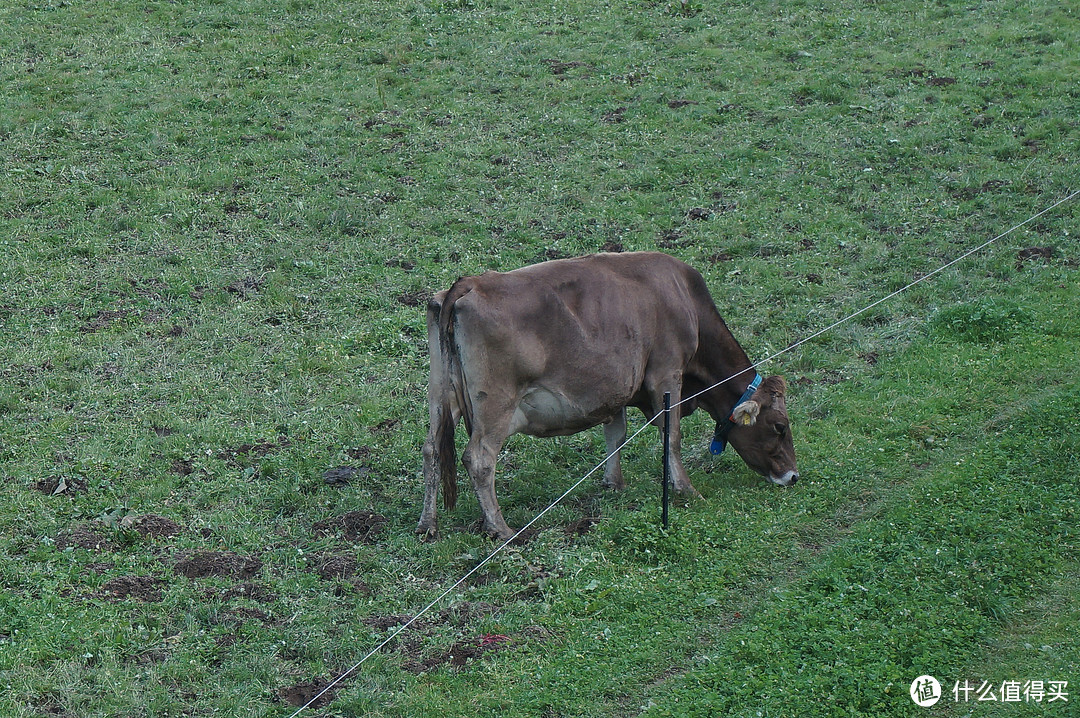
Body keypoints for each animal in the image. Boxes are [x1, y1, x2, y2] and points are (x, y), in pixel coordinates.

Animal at [416, 251, 799, 537]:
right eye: (779, 427)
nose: (793, 476)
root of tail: (471, 283)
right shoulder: (666, 372)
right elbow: (671, 435)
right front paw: (686, 489)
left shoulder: (616, 388)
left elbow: (616, 434)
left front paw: (614, 483)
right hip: (495, 404)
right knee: (479, 458)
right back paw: (502, 529)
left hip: (441, 394)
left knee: (432, 448)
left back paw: (427, 524)